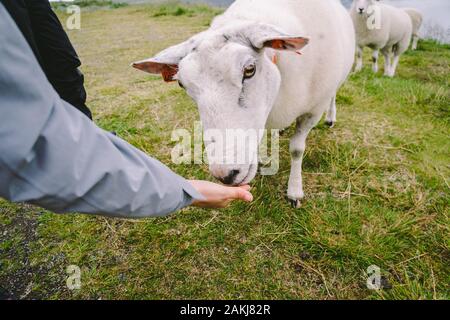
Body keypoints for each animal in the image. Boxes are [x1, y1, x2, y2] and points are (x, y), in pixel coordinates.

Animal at [133, 0, 356, 208]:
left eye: (249, 69)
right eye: (181, 83)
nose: (226, 175)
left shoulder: (312, 110)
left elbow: (296, 149)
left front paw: (294, 192)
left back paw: (330, 118)